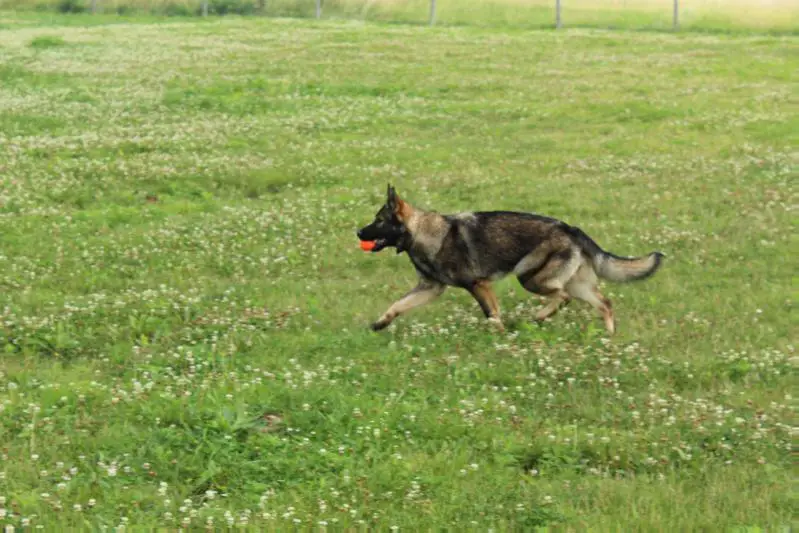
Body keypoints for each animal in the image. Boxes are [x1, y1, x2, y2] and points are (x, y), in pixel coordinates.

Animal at [356, 183, 664, 332]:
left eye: (379, 220)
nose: (357, 232)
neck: (424, 233)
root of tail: (571, 228)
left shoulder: (478, 285)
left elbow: (492, 315)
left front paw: (502, 337)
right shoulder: (430, 289)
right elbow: (397, 305)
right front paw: (379, 324)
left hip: (530, 278)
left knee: (563, 297)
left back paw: (540, 316)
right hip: (575, 283)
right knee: (604, 304)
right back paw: (609, 337)